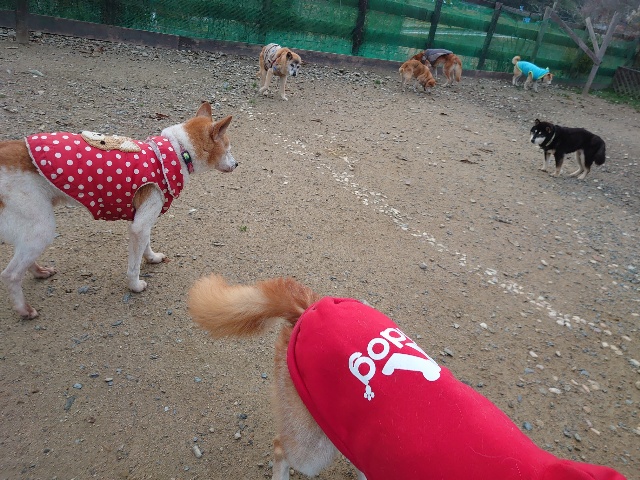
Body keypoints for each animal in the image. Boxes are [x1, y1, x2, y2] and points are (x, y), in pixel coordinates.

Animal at [0, 102, 237, 318]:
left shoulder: (141, 221)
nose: (237, 164)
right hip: (42, 228)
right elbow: (134, 265)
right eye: (228, 149)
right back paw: (24, 309)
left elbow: (146, 245)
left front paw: (151, 258)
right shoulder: (140, 226)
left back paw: (39, 272)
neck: (178, 151)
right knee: (10, 274)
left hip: (30, 229)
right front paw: (135, 285)